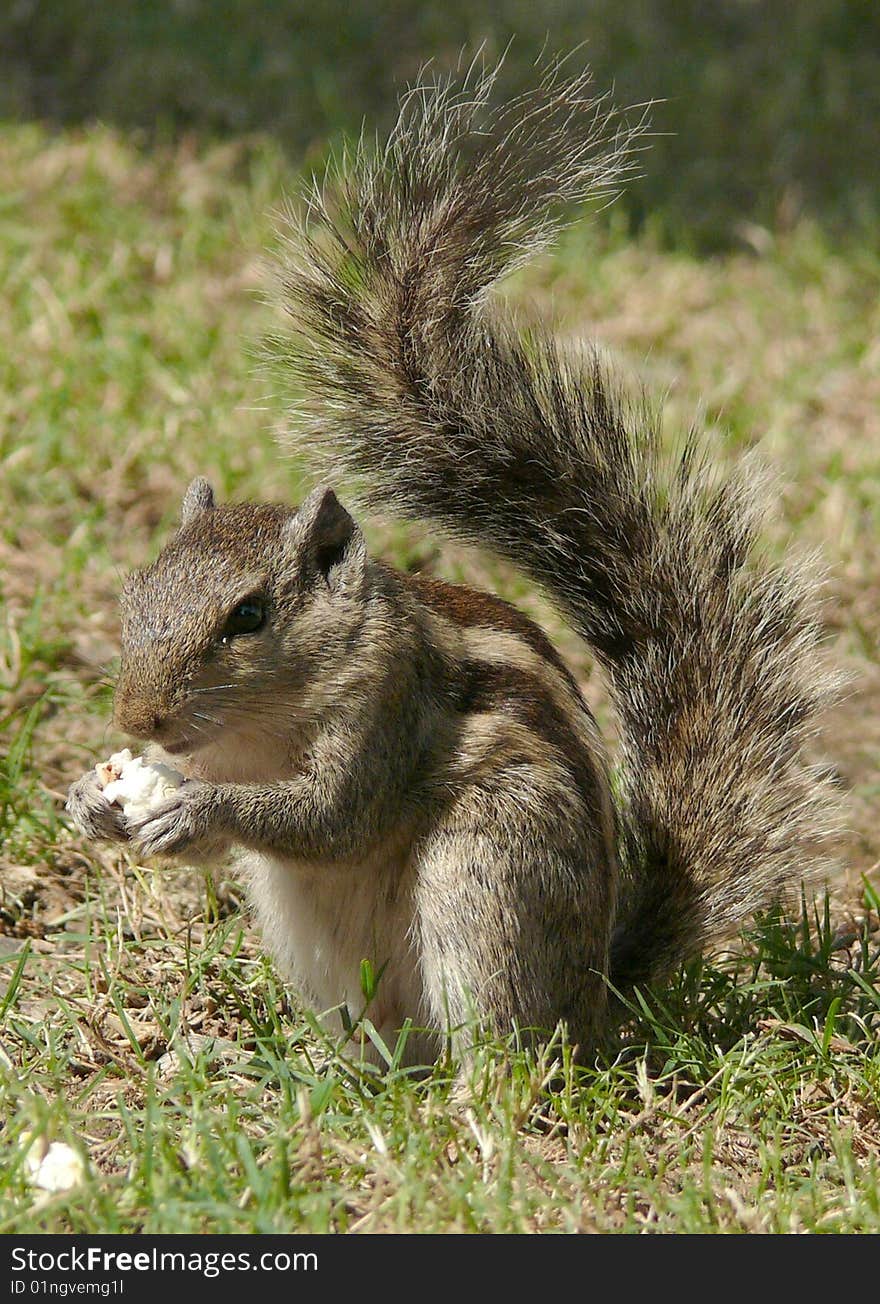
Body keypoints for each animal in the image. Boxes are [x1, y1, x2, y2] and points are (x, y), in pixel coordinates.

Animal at [67, 61, 839, 1064]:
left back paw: (473, 1084)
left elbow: (331, 817)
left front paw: (197, 809)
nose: (139, 718)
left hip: (488, 871)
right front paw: (91, 800)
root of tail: (599, 999)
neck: (261, 730)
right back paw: (328, 1069)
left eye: (248, 616)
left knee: (511, 1044)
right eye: (135, 592)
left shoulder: (389, 711)